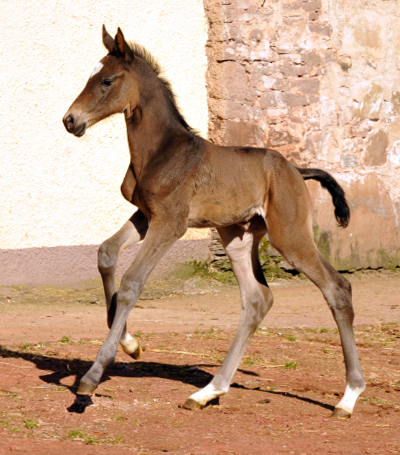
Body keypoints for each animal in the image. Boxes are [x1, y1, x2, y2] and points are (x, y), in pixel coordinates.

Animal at [63, 25, 366, 420]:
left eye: (107, 81)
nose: (71, 121)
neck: (161, 150)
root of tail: (297, 170)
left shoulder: (170, 223)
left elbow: (131, 283)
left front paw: (94, 374)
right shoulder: (146, 215)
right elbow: (105, 254)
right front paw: (130, 343)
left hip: (290, 236)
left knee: (337, 288)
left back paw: (348, 396)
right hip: (237, 236)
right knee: (257, 299)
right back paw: (208, 391)